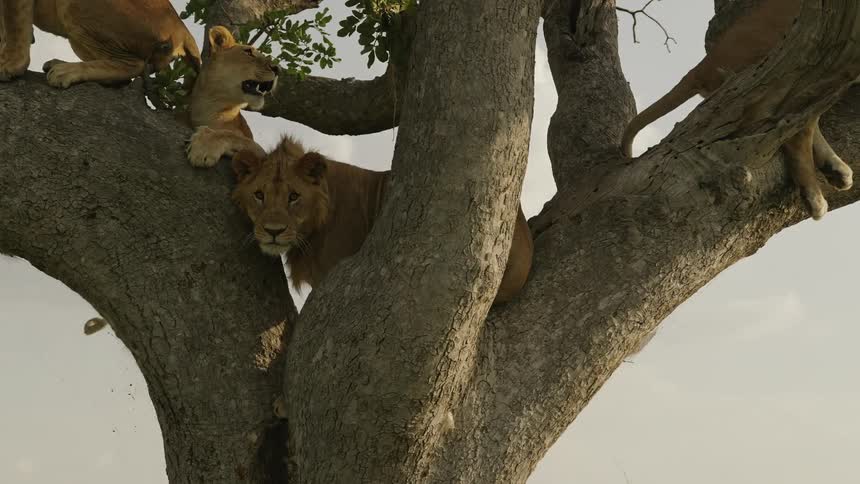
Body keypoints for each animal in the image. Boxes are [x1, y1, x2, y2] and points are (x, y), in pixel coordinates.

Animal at [0, 0, 200, 87]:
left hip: (77, 8)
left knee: (132, 65)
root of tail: (181, 27)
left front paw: (9, 65)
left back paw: (65, 71)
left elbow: (14, 20)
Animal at [185, 26, 279, 167]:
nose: (278, 69)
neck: (209, 104)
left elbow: (231, 135)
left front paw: (204, 146)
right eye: (248, 52)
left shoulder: (263, 154)